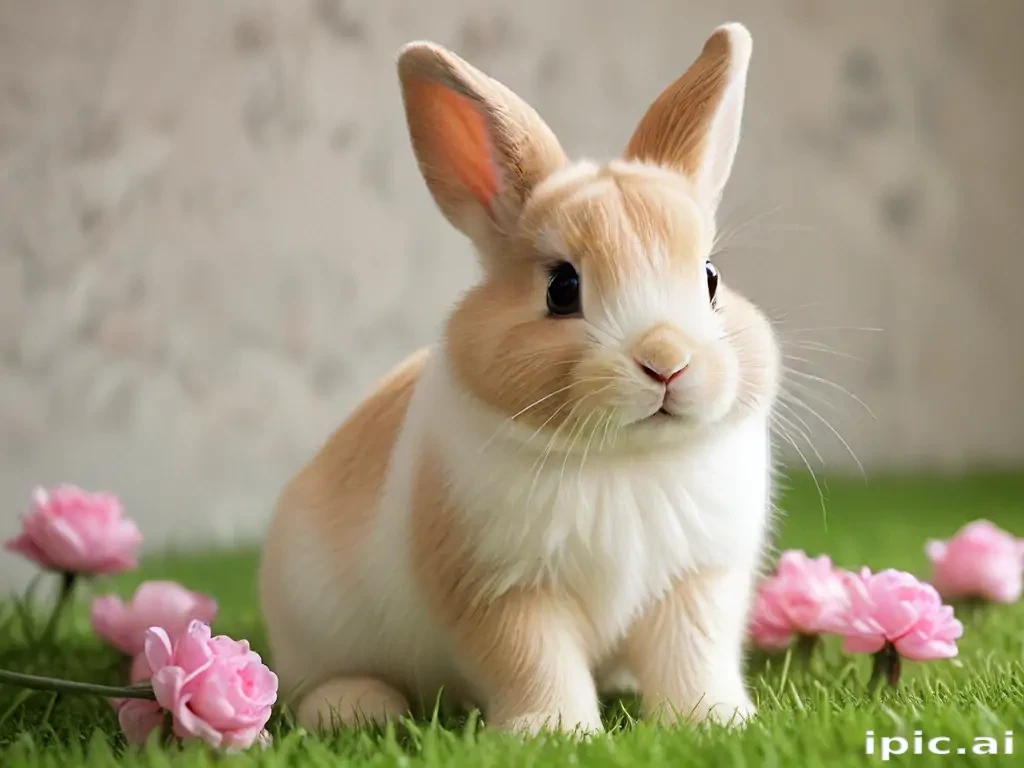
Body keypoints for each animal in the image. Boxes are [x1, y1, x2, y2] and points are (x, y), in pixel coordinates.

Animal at [259, 21, 780, 735]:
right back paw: (357, 709)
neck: (622, 460)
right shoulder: (504, 594)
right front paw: (555, 733)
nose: (667, 360)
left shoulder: (696, 585)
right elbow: (533, 663)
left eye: (710, 279)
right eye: (562, 289)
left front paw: (715, 722)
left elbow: (691, 660)